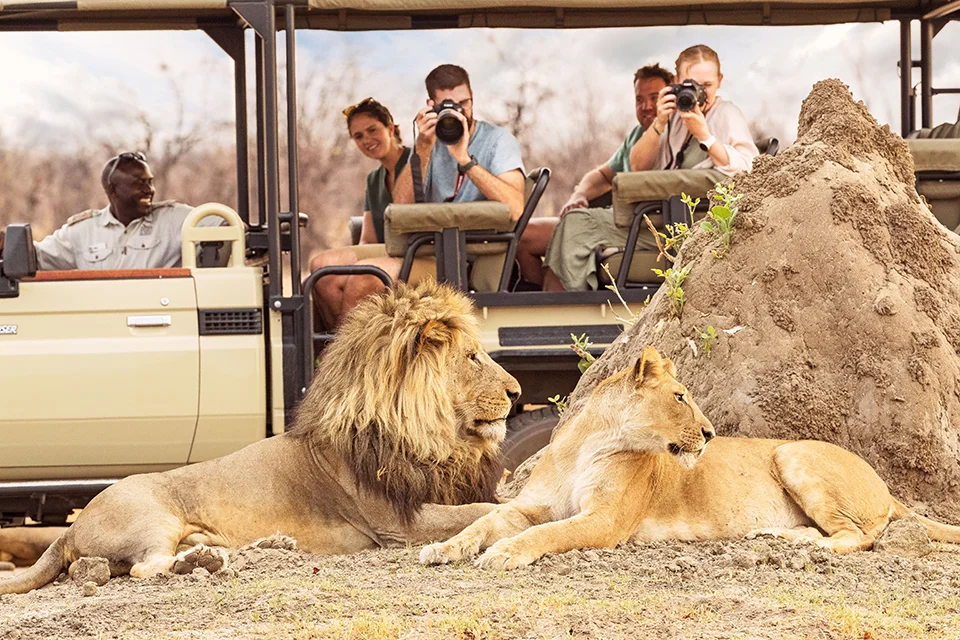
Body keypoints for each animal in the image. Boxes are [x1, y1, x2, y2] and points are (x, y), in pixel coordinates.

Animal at [1, 280, 520, 594]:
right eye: (473, 357)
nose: (516, 392)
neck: (440, 443)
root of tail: (70, 529)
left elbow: (489, 499)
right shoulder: (395, 522)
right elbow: (476, 511)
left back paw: (259, 548)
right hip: (151, 516)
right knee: (146, 567)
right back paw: (201, 563)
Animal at [420, 346, 960, 570]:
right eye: (680, 396)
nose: (710, 432)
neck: (589, 444)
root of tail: (887, 486)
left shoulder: (606, 521)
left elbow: (548, 534)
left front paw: (505, 553)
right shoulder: (528, 505)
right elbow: (482, 523)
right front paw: (443, 548)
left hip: (791, 451)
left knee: (860, 536)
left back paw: (806, 548)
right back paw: (775, 537)